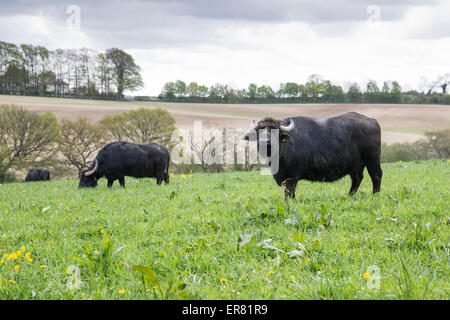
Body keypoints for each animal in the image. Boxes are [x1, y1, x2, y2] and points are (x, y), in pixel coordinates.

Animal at [244, 111, 382, 199]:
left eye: (275, 130)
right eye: (258, 131)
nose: (265, 141)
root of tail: (372, 121)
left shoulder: (292, 175)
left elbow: (290, 191)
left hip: (372, 159)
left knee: (376, 175)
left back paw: (375, 195)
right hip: (356, 165)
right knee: (357, 179)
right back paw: (349, 195)